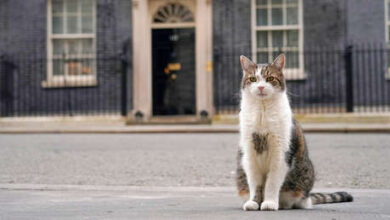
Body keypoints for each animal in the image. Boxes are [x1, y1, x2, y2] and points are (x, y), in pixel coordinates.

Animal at [236, 54, 352, 211]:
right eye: (253, 79)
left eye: (270, 78)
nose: (260, 87)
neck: (262, 111)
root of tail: (308, 197)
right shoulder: (250, 154)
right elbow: (255, 183)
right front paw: (254, 202)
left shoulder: (281, 153)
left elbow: (272, 183)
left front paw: (270, 203)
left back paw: (283, 204)